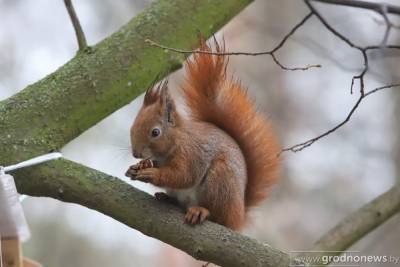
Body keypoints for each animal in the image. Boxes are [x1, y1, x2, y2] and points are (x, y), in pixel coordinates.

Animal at [126, 36, 282, 231]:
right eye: (132, 127)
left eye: (155, 132)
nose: (136, 154)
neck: (177, 141)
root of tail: (238, 218)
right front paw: (140, 166)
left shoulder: (192, 155)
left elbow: (183, 176)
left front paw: (152, 174)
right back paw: (167, 198)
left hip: (220, 181)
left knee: (217, 216)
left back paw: (200, 211)